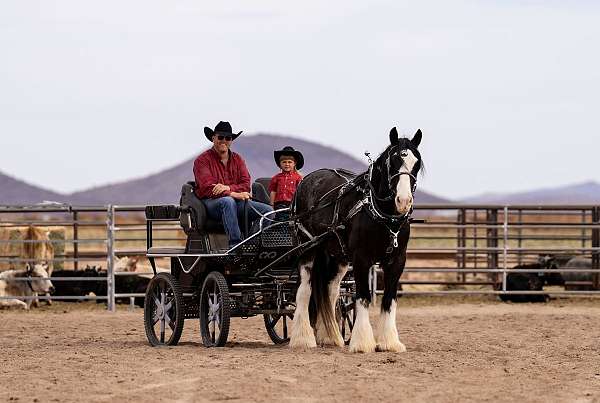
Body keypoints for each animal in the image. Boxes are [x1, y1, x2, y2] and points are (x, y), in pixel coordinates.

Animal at [290, 128, 422, 352]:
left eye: (417, 162)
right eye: (393, 161)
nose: (403, 201)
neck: (383, 217)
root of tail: (307, 179)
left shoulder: (397, 261)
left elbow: (389, 299)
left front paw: (389, 342)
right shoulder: (362, 259)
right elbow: (363, 297)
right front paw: (362, 342)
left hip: (338, 257)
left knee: (330, 291)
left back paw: (329, 336)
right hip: (307, 248)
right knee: (304, 291)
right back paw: (303, 338)